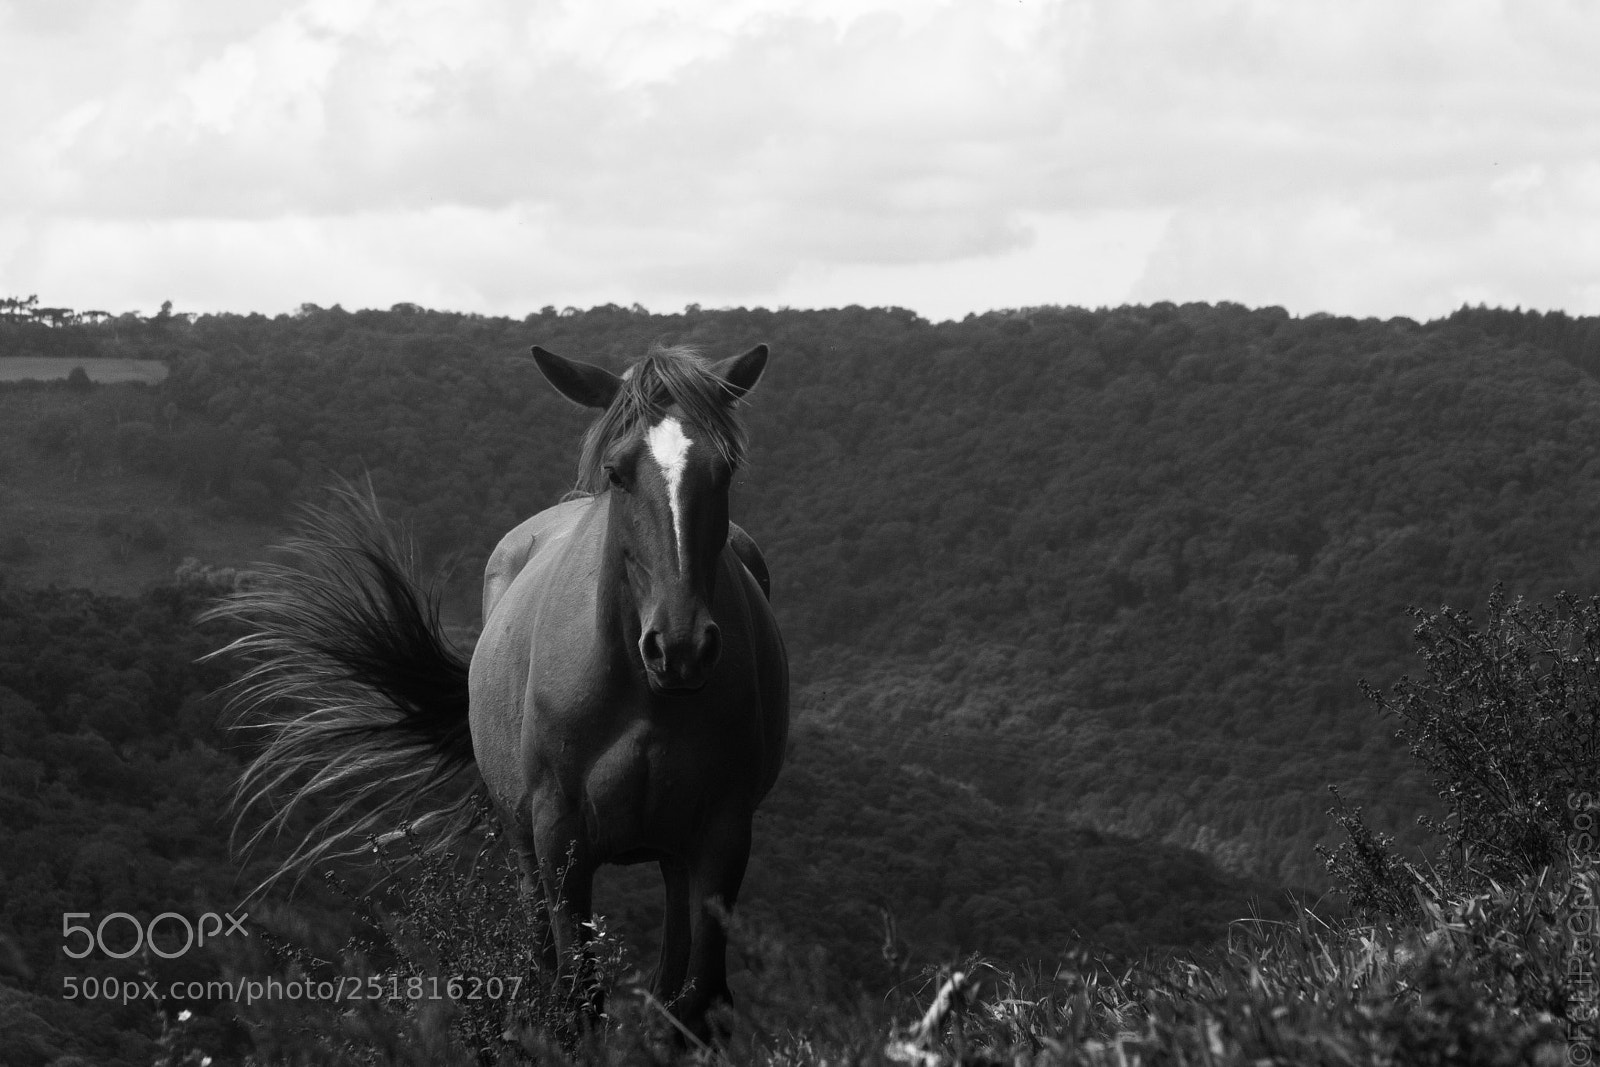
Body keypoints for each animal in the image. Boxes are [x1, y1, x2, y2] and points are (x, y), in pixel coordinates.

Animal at [210, 343, 789, 1041]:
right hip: (525, 848)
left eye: (724, 469)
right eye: (618, 473)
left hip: (676, 857)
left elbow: (697, 1004)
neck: (647, 696)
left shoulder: (721, 837)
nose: (679, 645)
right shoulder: (560, 836)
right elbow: (576, 1000)